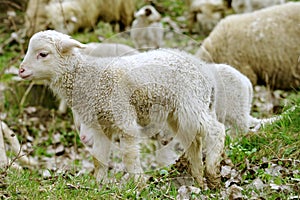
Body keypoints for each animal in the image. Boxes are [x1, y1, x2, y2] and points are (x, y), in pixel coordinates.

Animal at [18, 30, 225, 189]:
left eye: (43, 54)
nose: (21, 70)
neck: (89, 77)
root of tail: (206, 71)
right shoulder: (101, 125)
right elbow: (99, 158)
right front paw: (98, 185)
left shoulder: (123, 116)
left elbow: (129, 156)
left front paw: (140, 184)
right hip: (178, 113)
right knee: (194, 141)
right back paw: (200, 180)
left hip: (191, 103)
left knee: (217, 130)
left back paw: (212, 170)